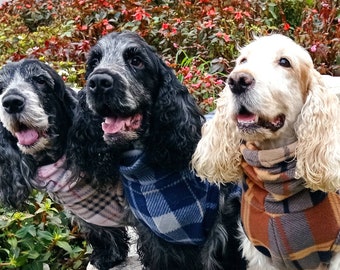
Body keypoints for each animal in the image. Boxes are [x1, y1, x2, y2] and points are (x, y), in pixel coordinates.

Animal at [0, 60, 130, 270]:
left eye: (41, 80)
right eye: (1, 88)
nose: (11, 102)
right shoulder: (90, 214)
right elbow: (102, 233)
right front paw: (109, 256)